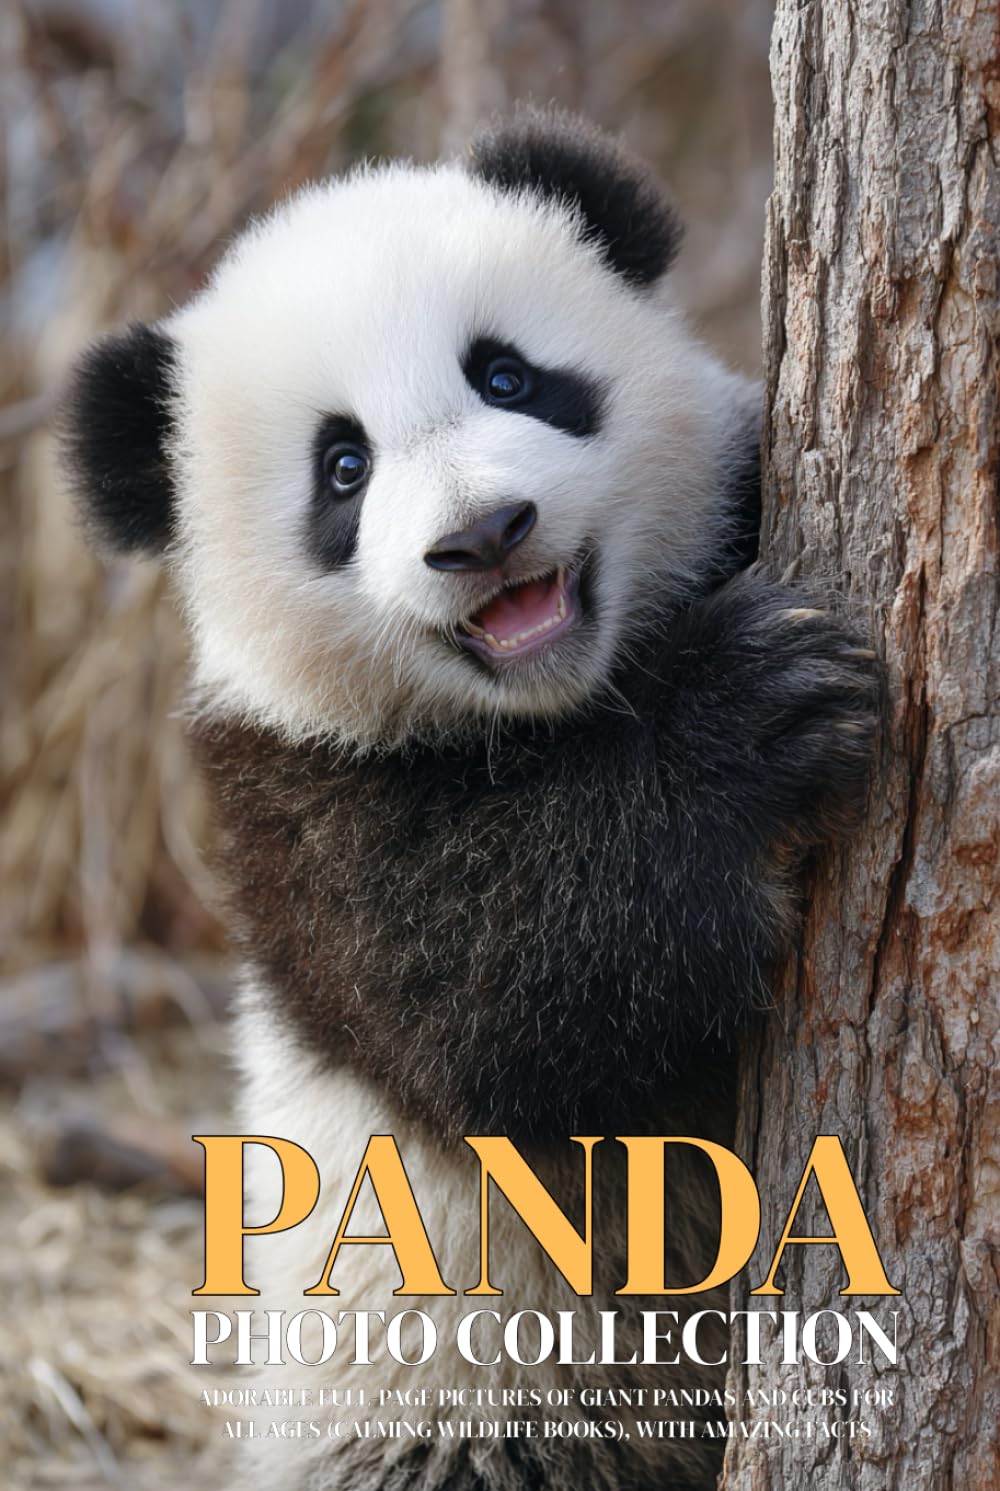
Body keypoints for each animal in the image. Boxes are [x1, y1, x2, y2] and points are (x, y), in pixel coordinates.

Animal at [61, 110, 879, 1491]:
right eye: (342, 467)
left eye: (507, 377)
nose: (485, 534)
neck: (568, 705)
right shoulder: (299, 803)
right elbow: (492, 1002)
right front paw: (749, 712)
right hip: (472, 1393)